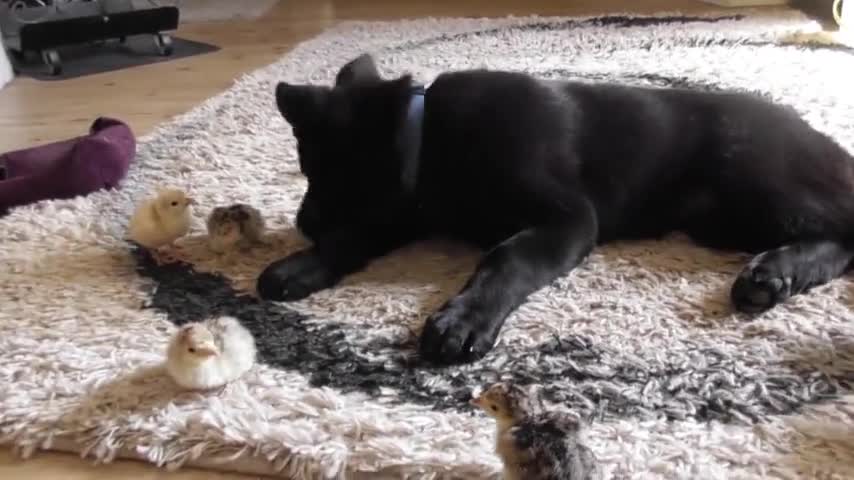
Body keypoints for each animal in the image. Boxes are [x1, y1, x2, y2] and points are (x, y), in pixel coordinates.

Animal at [258, 53, 854, 364]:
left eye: (315, 169)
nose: (301, 225)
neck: (429, 138)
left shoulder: (567, 219)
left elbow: (505, 259)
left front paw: (463, 320)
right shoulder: (404, 209)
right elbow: (355, 238)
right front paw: (297, 268)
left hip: (754, 183)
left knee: (842, 227)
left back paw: (773, 271)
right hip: (721, 217)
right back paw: (770, 277)